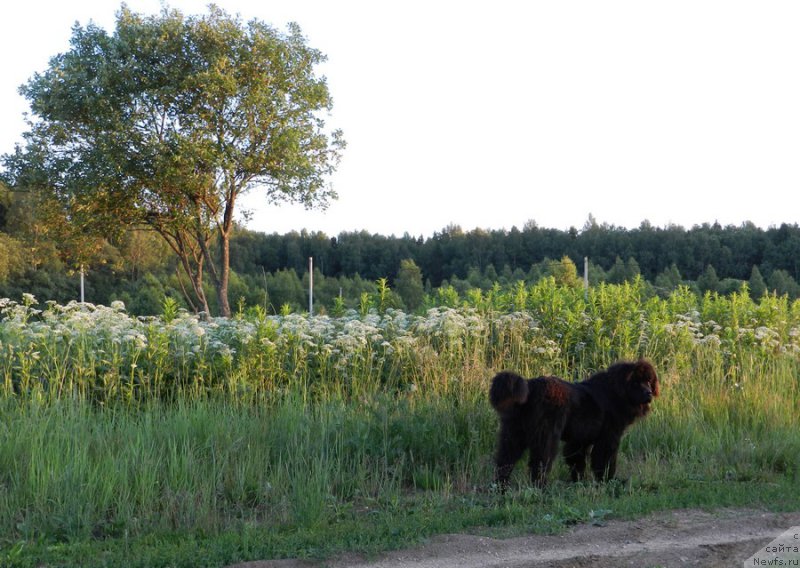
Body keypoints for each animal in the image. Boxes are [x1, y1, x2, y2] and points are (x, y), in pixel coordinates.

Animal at [490, 360, 660, 488]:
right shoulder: (608, 438)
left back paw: (501, 487)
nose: (649, 393)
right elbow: (605, 461)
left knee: (505, 461)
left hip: (513, 434)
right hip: (546, 435)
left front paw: (578, 482)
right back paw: (541, 487)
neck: (616, 393)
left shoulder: (579, 440)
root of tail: (531, 387)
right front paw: (609, 481)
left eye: (648, 381)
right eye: (636, 382)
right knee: (539, 462)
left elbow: (577, 461)